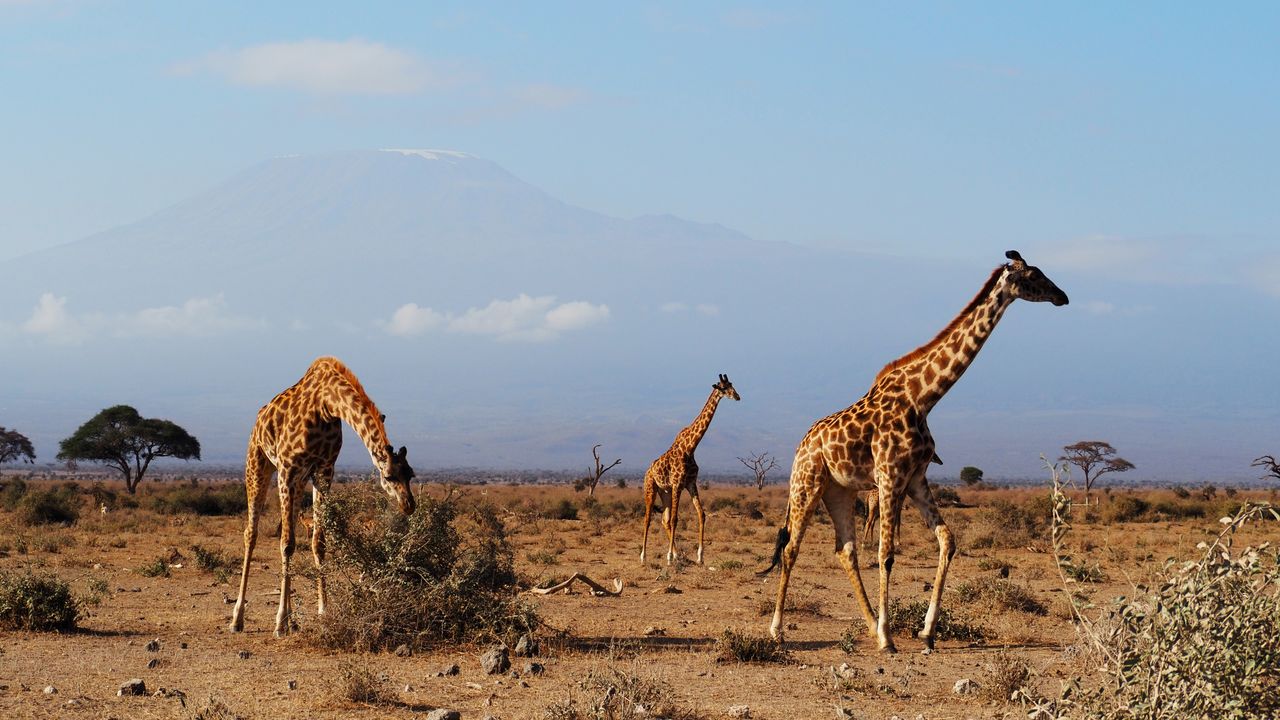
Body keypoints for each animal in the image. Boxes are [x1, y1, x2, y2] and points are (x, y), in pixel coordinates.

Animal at [225, 353, 414, 632]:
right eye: (389, 476)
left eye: (411, 474)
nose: (409, 505)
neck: (326, 405)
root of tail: (259, 417)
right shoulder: (288, 468)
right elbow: (287, 544)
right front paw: (280, 621)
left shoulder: (324, 471)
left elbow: (318, 542)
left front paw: (323, 611)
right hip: (258, 464)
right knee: (251, 533)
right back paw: (238, 619)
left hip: (299, 480)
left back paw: (293, 621)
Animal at [640, 371, 742, 563]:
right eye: (724, 388)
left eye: (732, 384)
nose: (737, 396)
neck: (691, 447)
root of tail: (648, 470)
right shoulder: (678, 484)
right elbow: (675, 519)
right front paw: (669, 557)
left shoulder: (690, 483)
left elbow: (701, 514)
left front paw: (700, 556)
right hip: (651, 488)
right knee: (648, 518)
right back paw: (644, 556)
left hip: (665, 492)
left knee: (664, 519)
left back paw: (677, 553)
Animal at [757, 251, 1070, 650]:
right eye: (1034, 275)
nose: (1062, 296)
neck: (924, 398)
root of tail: (802, 444)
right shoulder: (890, 476)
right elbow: (887, 554)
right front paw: (888, 637)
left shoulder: (916, 477)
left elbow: (947, 541)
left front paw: (926, 631)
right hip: (806, 485)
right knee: (791, 548)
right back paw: (778, 630)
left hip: (838, 490)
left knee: (845, 550)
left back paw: (868, 622)